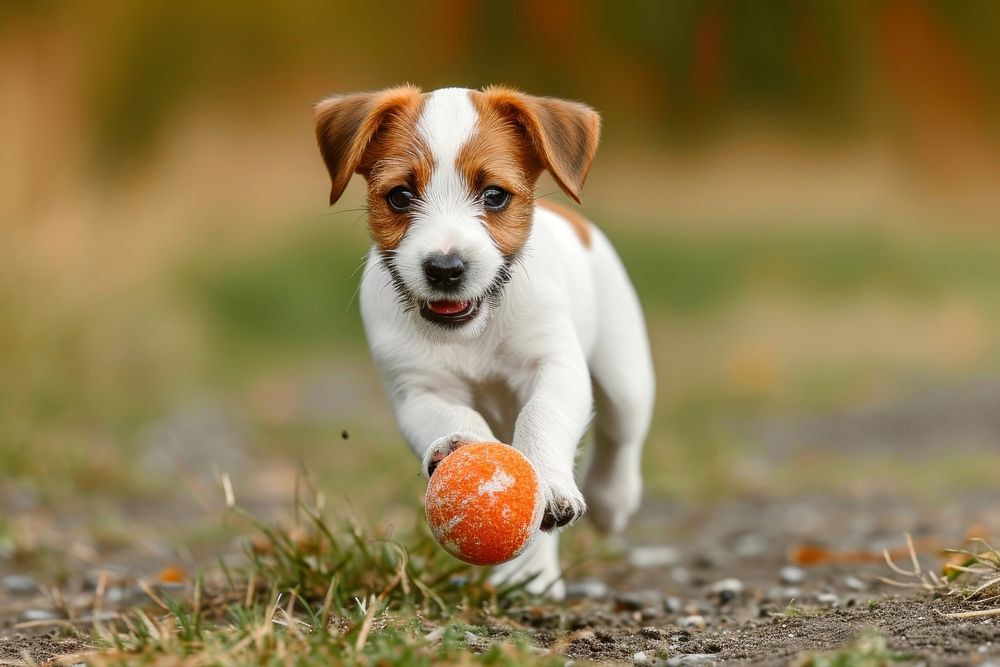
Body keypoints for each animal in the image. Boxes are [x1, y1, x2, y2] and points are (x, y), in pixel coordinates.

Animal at [314, 85, 656, 600]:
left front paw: (554, 486)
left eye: (494, 196)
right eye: (400, 196)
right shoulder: (418, 392)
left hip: (625, 375)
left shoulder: (555, 366)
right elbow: (458, 419)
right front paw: (457, 448)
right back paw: (533, 576)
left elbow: (542, 417)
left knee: (620, 435)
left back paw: (610, 499)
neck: (475, 331)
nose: (444, 269)